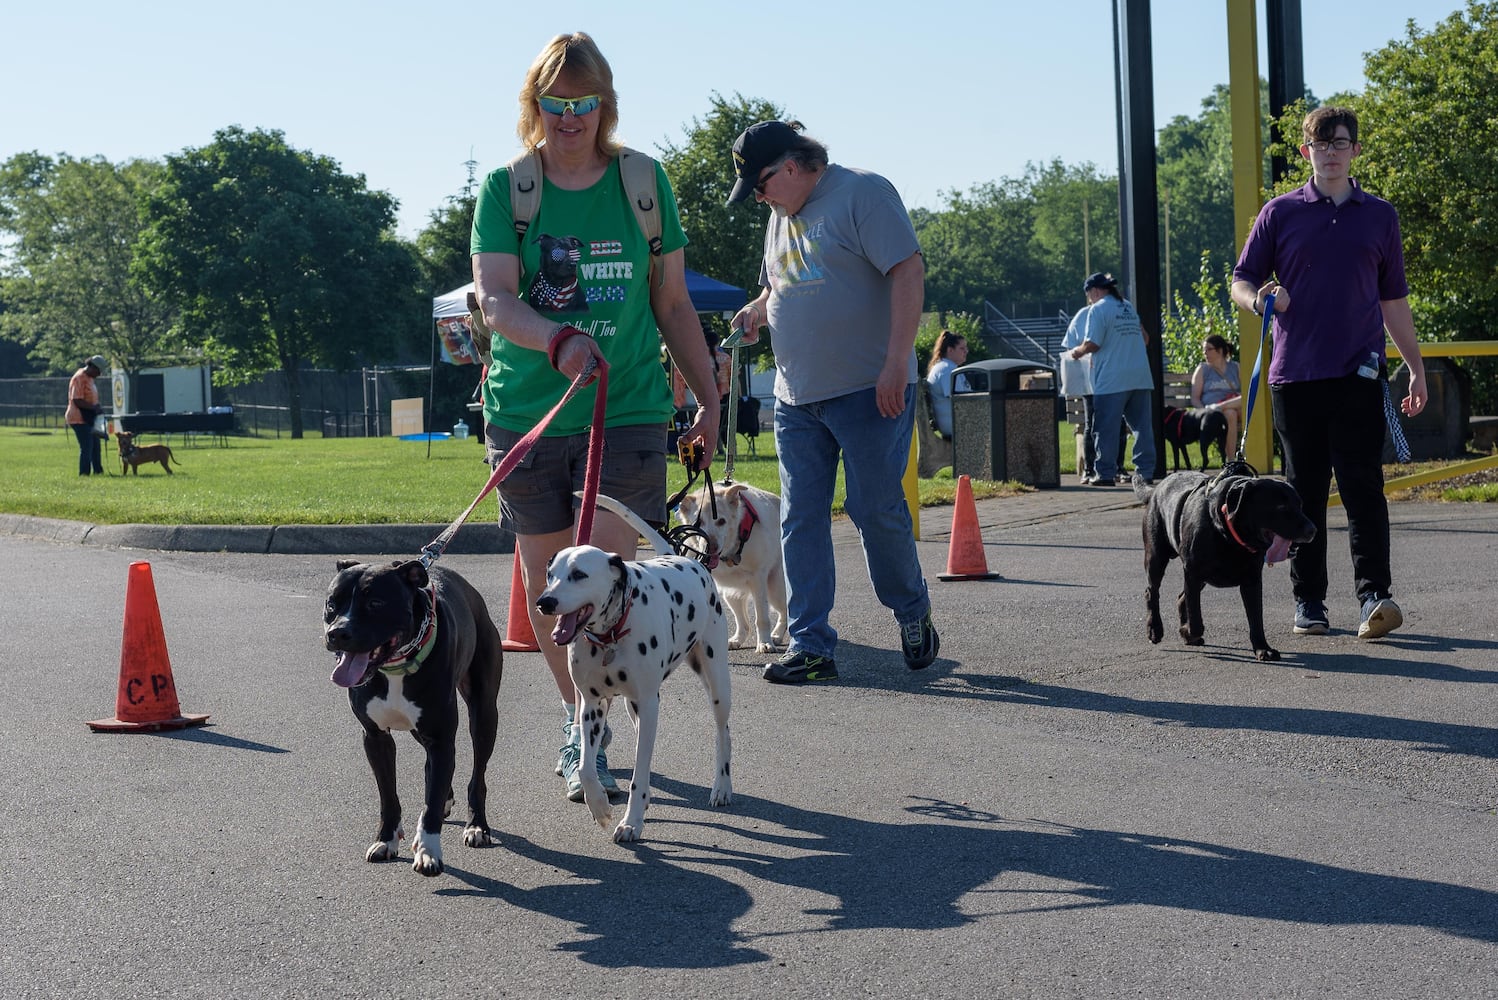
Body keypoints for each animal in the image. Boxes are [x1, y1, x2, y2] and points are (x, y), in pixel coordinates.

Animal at [323, 559, 503, 880]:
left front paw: (429, 852)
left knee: (477, 773)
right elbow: (388, 796)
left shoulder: (441, 739)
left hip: (484, 715)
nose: (337, 633)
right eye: (332, 604)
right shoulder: (376, 738)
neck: (395, 666)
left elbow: (431, 804)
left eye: (376, 603)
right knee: (433, 771)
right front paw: (386, 840)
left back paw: (477, 825)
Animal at [536, 497, 734, 838]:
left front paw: (631, 822)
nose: (544, 601)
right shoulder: (592, 705)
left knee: (723, 733)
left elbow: (640, 774)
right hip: (633, 707)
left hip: (717, 682)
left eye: (579, 574)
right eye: (551, 574)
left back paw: (722, 786)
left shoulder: (649, 703)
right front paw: (600, 807)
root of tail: (685, 559)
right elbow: (587, 768)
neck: (612, 634)